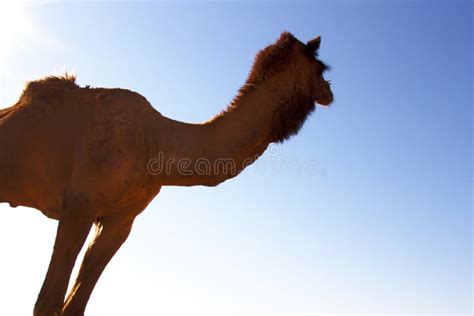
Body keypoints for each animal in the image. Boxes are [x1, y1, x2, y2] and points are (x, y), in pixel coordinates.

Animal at [0, 30, 334, 314]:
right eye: (321, 68)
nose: (330, 92)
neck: (157, 143)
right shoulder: (80, 202)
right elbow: (47, 303)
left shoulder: (120, 220)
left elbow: (74, 305)